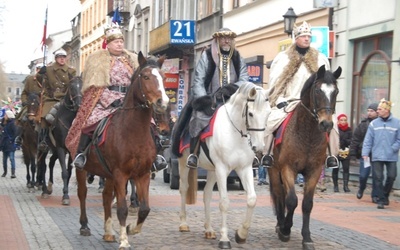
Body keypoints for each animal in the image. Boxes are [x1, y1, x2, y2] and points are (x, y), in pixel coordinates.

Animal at [76, 51, 169, 249]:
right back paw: (84, 226)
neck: (133, 131)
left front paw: (130, 229)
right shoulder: (121, 174)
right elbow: (122, 209)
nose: (162, 102)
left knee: (105, 197)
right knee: (82, 194)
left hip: (108, 175)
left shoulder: (142, 174)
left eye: (163, 77)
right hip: (82, 169)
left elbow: (144, 209)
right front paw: (124, 241)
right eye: (146, 76)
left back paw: (108, 233)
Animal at [179, 82, 270, 248]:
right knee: (183, 188)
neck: (236, 133)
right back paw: (183, 224)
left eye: (268, 113)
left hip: (212, 170)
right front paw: (225, 239)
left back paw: (209, 229)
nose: (259, 147)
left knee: (207, 194)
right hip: (184, 163)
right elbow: (224, 203)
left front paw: (241, 234)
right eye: (251, 114)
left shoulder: (244, 168)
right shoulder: (222, 169)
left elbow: (252, 199)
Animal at [268, 65, 340, 250]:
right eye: (317, 90)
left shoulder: (314, 171)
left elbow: (307, 204)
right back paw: (280, 223)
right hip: (274, 170)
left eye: (335, 91)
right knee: (279, 194)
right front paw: (285, 230)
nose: (326, 124)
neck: (308, 134)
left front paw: (306, 238)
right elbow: (292, 200)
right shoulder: (288, 168)